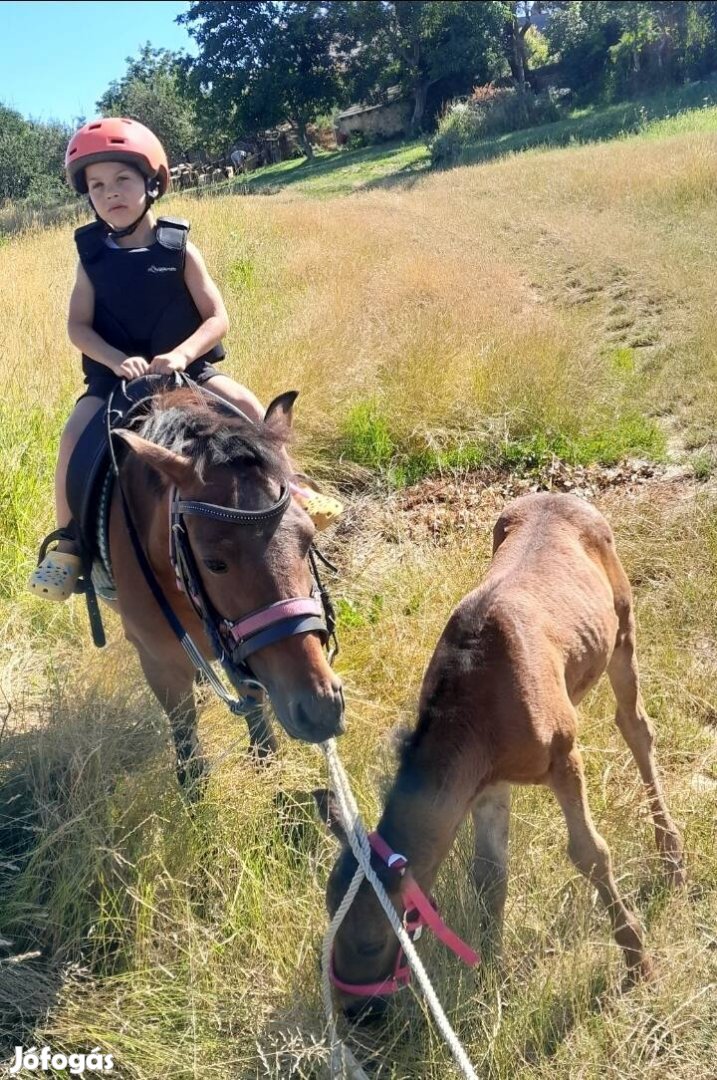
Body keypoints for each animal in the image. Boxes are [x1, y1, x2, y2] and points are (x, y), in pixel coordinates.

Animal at [323, 490, 682, 1010]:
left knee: (635, 725)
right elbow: (488, 875)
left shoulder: (562, 750)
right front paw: (490, 977)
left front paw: (639, 963)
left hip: (622, 623)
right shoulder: (488, 787)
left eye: (371, 941)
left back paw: (672, 857)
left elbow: (590, 852)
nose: (357, 1012)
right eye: (328, 905)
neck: (477, 725)